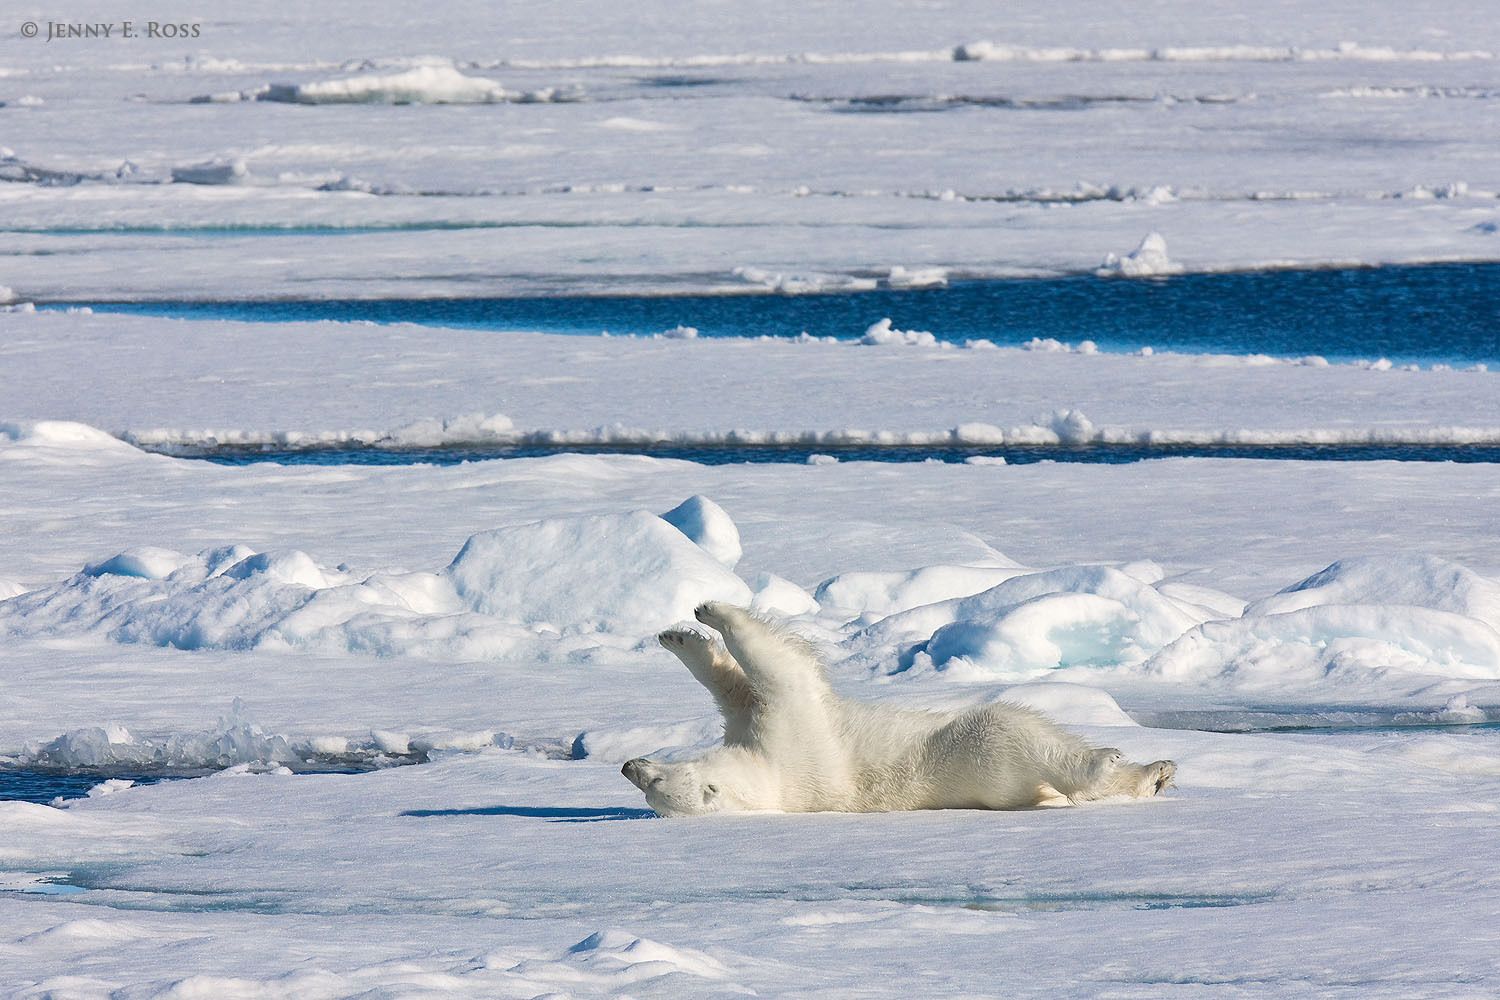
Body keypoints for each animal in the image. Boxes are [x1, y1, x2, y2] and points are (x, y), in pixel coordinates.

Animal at [622, 601, 1176, 817]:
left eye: (654, 781)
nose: (629, 766)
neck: (770, 781)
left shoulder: (758, 732)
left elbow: (734, 690)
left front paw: (681, 635)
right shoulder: (789, 735)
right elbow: (780, 671)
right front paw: (713, 611)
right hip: (986, 759)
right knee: (1013, 728)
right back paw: (1127, 767)